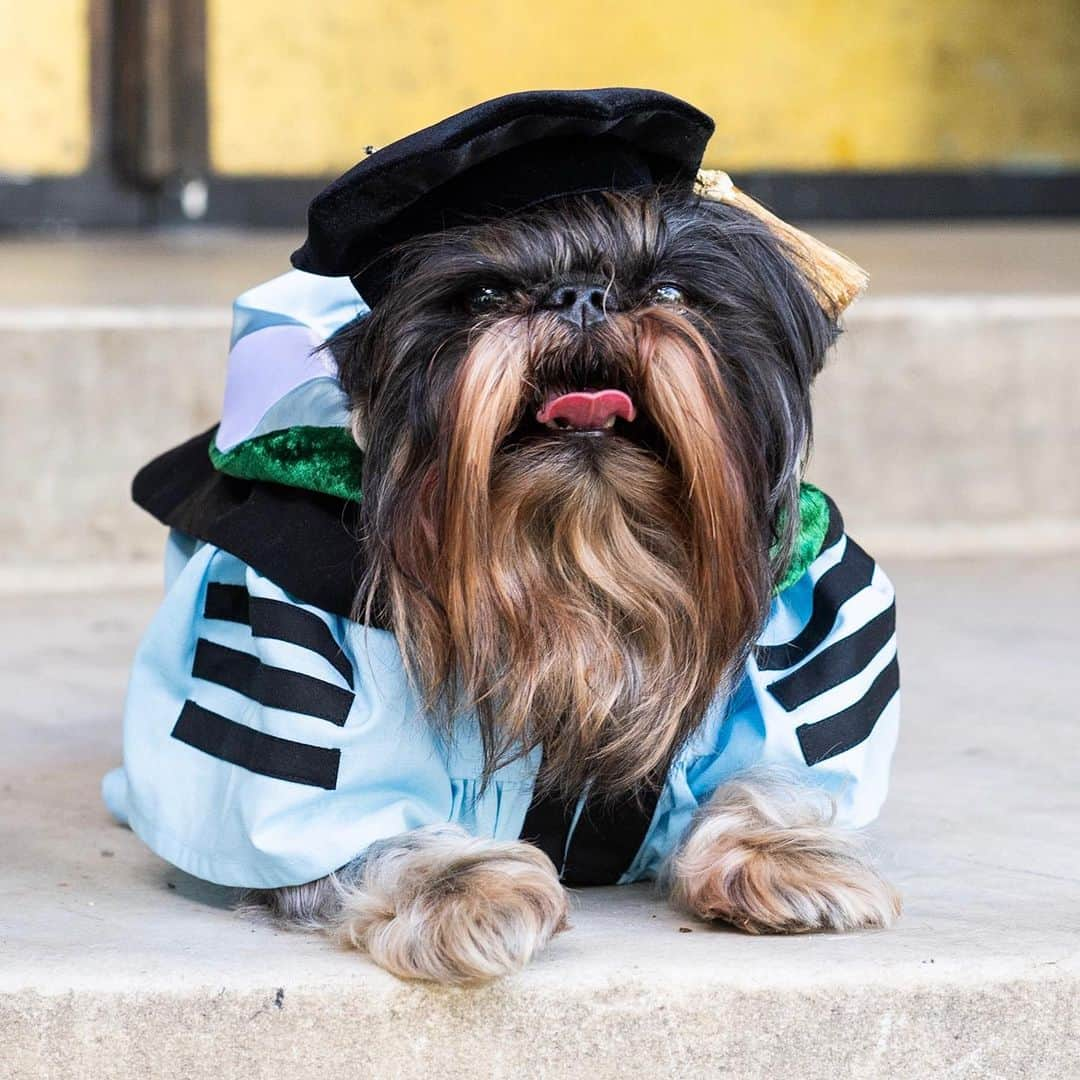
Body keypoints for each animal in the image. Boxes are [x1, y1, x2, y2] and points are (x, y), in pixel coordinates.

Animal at [109, 92, 902, 989]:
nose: (582, 295)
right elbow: (359, 823)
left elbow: (766, 773)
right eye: (485, 293)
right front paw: (461, 885)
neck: (578, 550)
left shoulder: (805, 611)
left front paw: (780, 849)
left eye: (671, 288)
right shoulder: (285, 636)